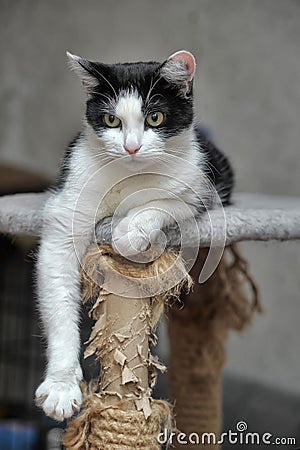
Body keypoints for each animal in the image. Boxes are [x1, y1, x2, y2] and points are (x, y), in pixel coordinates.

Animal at [34, 50, 232, 422]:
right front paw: (61, 386)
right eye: (111, 120)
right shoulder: (66, 206)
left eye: (155, 117)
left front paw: (128, 232)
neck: (128, 176)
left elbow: (165, 203)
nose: (131, 147)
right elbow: (57, 290)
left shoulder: (199, 187)